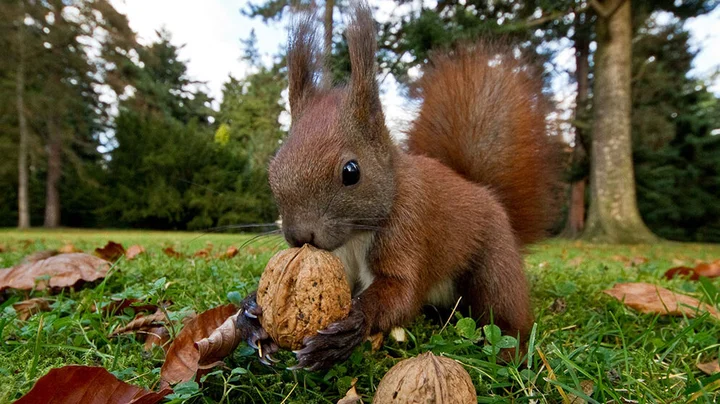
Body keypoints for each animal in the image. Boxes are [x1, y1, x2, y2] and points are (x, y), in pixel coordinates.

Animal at [237, 2, 557, 370]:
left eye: (351, 171)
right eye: (273, 169)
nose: (300, 236)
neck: (356, 235)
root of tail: (484, 191)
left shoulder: (410, 228)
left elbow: (403, 292)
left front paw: (351, 327)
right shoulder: (339, 259)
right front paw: (249, 313)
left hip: (495, 260)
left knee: (503, 305)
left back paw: (510, 351)